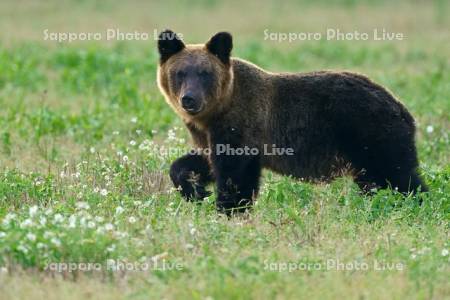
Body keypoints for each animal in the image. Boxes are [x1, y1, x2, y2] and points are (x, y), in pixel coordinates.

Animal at [156, 29, 428, 213]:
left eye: (205, 73)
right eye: (180, 73)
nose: (189, 99)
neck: (216, 113)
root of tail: (400, 106)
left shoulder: (242, 126)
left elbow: (236, 175)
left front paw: (229, 209)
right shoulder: (209, 135)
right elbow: (199, 162)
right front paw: (194, 189)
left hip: (370, 131)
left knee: (399, 175)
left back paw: (417, 204)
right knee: (375, 181)